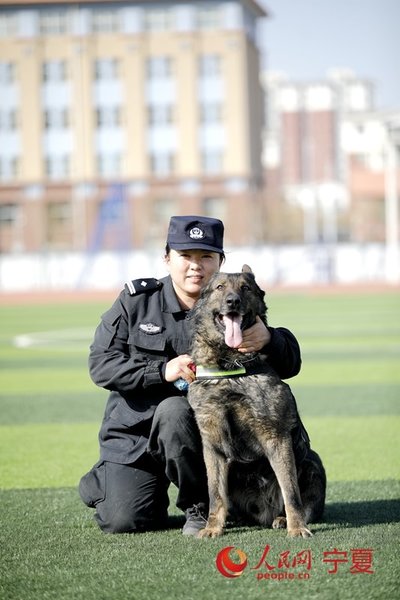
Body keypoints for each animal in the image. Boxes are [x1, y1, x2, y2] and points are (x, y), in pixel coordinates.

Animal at [188, 268, 324, 540]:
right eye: (220, 287)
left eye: (245, 288)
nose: (233, 301)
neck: (231, 369)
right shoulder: (213, 445)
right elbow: (215, 494)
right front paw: (212, 528)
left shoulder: (277, 438)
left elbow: (291, 492)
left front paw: (297, 527)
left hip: (312, 462)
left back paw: (283, 519)